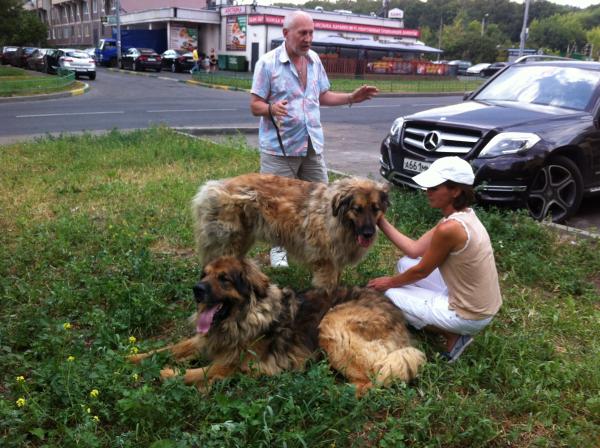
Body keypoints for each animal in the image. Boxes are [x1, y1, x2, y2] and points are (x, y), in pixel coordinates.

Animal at [130, 256, 426, 396]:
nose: (196, 290)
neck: (242, 318)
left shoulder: (232, 364)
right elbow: (170, 348)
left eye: (224, 279)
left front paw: (168, 374)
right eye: (205, 275)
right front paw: (133, 358)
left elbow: (197, 373)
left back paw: (328, 390)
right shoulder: (206, 339)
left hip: (332, 323)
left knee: (370, 381)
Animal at [190, 172, 392, 290]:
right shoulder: (325, 262)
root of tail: (214, 186)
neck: (335, 217)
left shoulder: (337, 261)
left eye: (375, 209)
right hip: (229, 241)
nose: (368, 234)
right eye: (357, 209)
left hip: (242, 240)